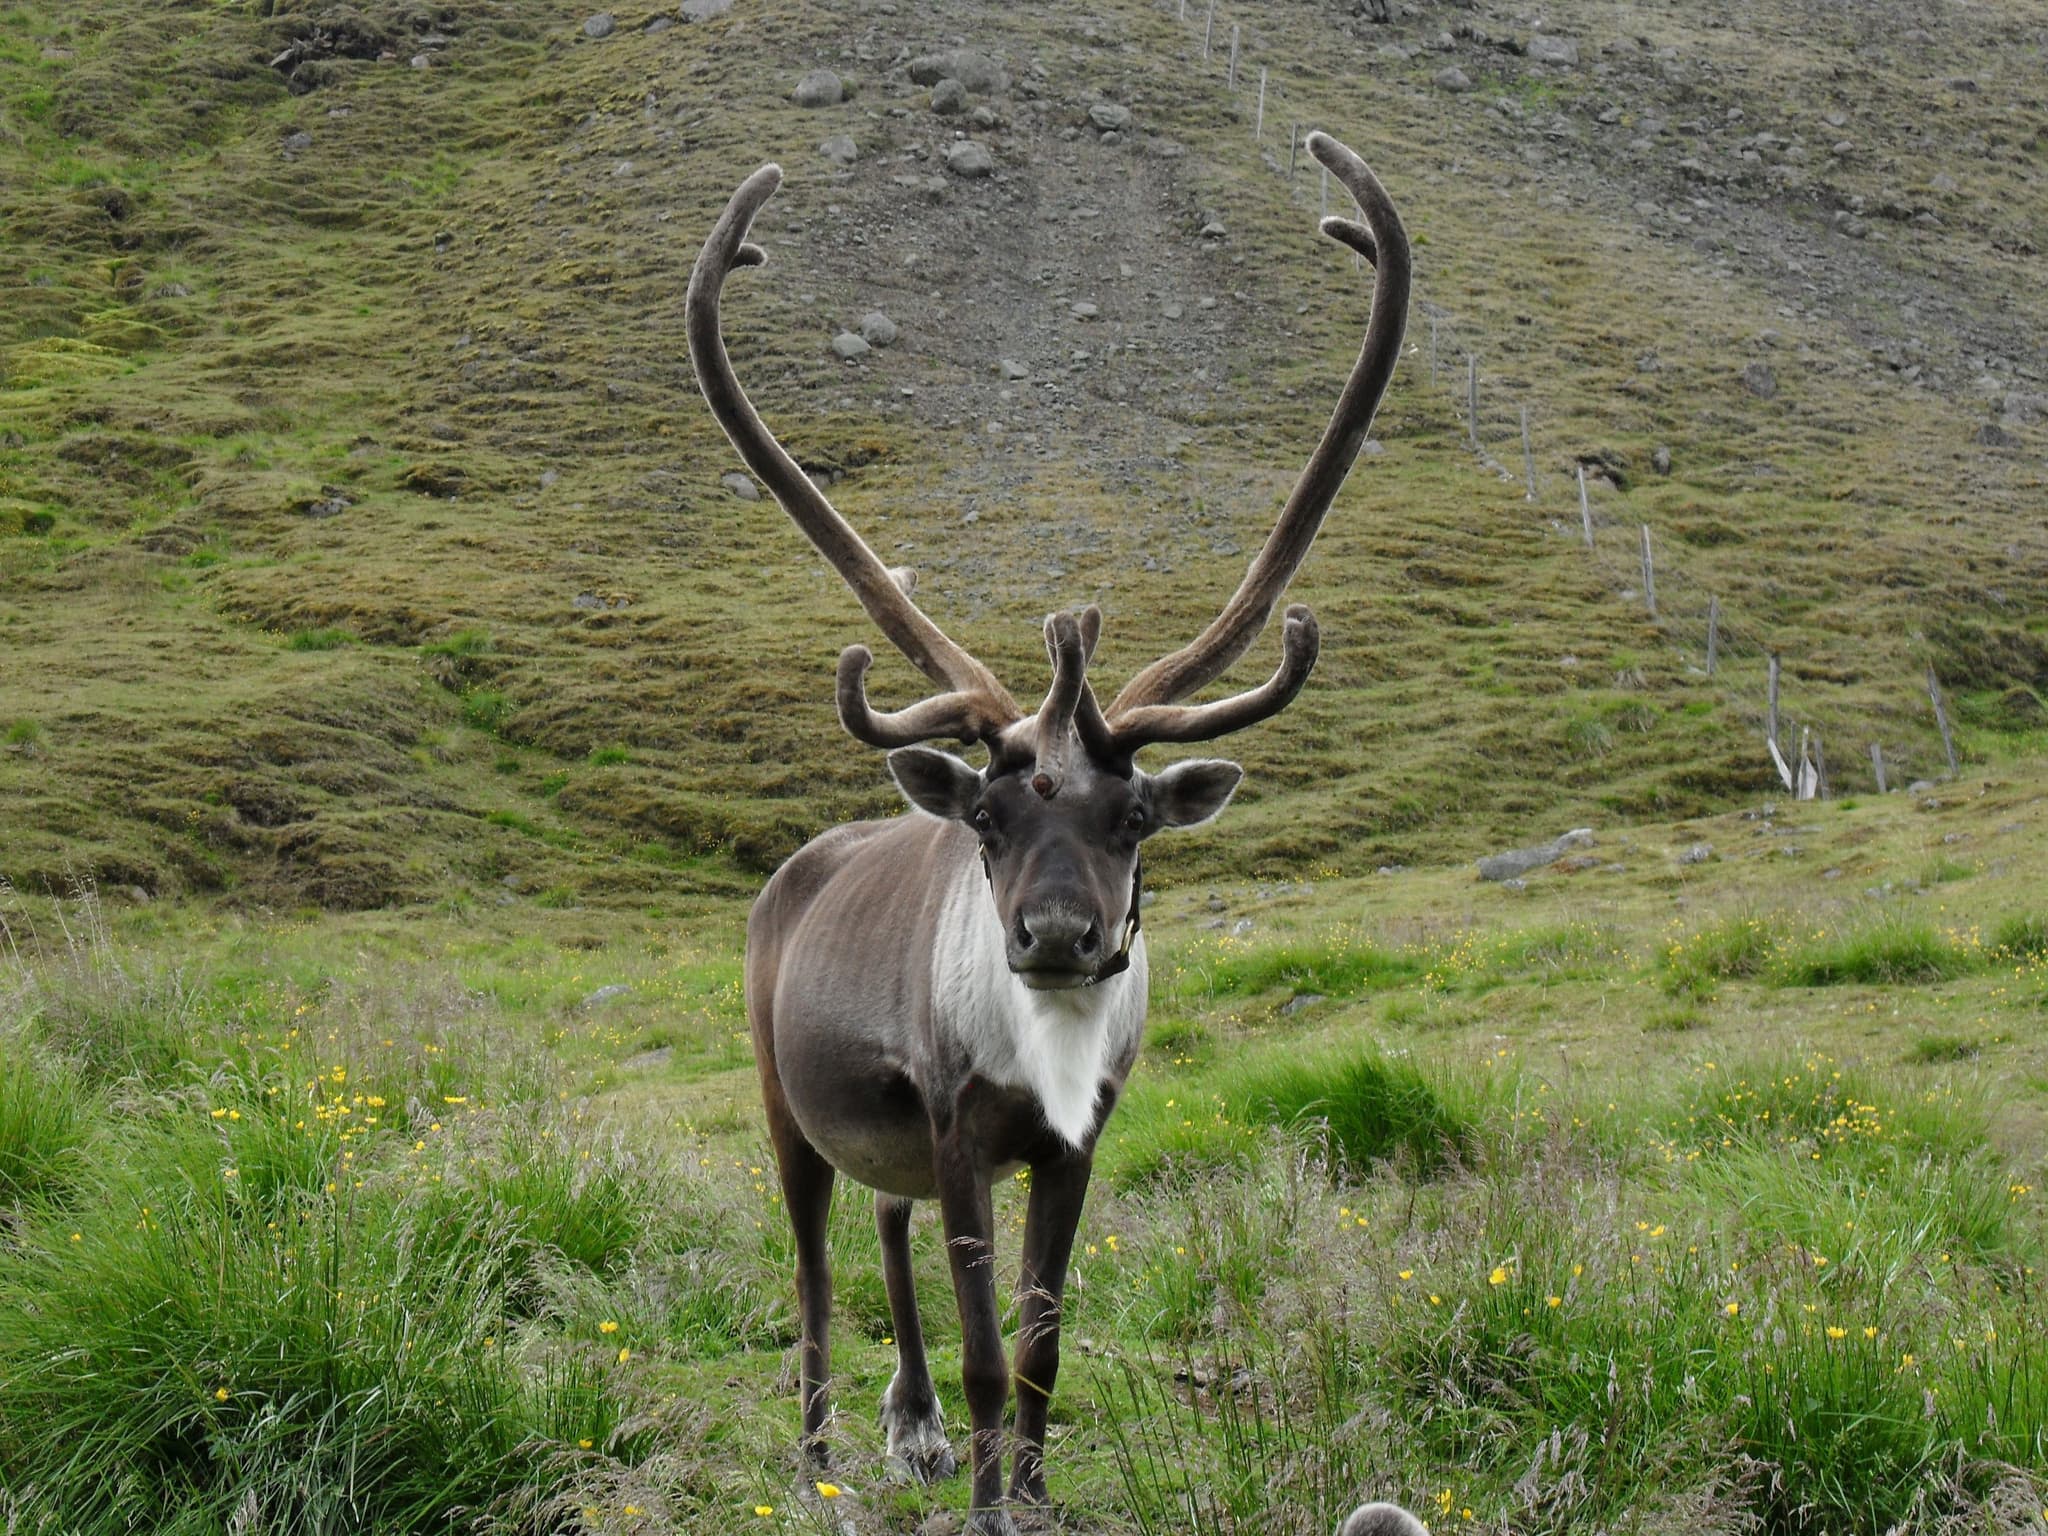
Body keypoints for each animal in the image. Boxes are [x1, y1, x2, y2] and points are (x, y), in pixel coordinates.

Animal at [685, 130, 1409, 1533]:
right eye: (986, 815)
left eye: (1133, 817)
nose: (1061, 937)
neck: (1050, 1055)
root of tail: (796, 869)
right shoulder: (959, 1124)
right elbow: (981, 1349)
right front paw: (984, 1503)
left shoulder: (1077, 1141)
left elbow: (1038, 1345)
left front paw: (1024, 1487)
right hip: (785, 1101)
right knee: (811, 1273)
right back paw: (816, 1462)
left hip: (890, 1139)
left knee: (886, 1227)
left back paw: (905, 1424)